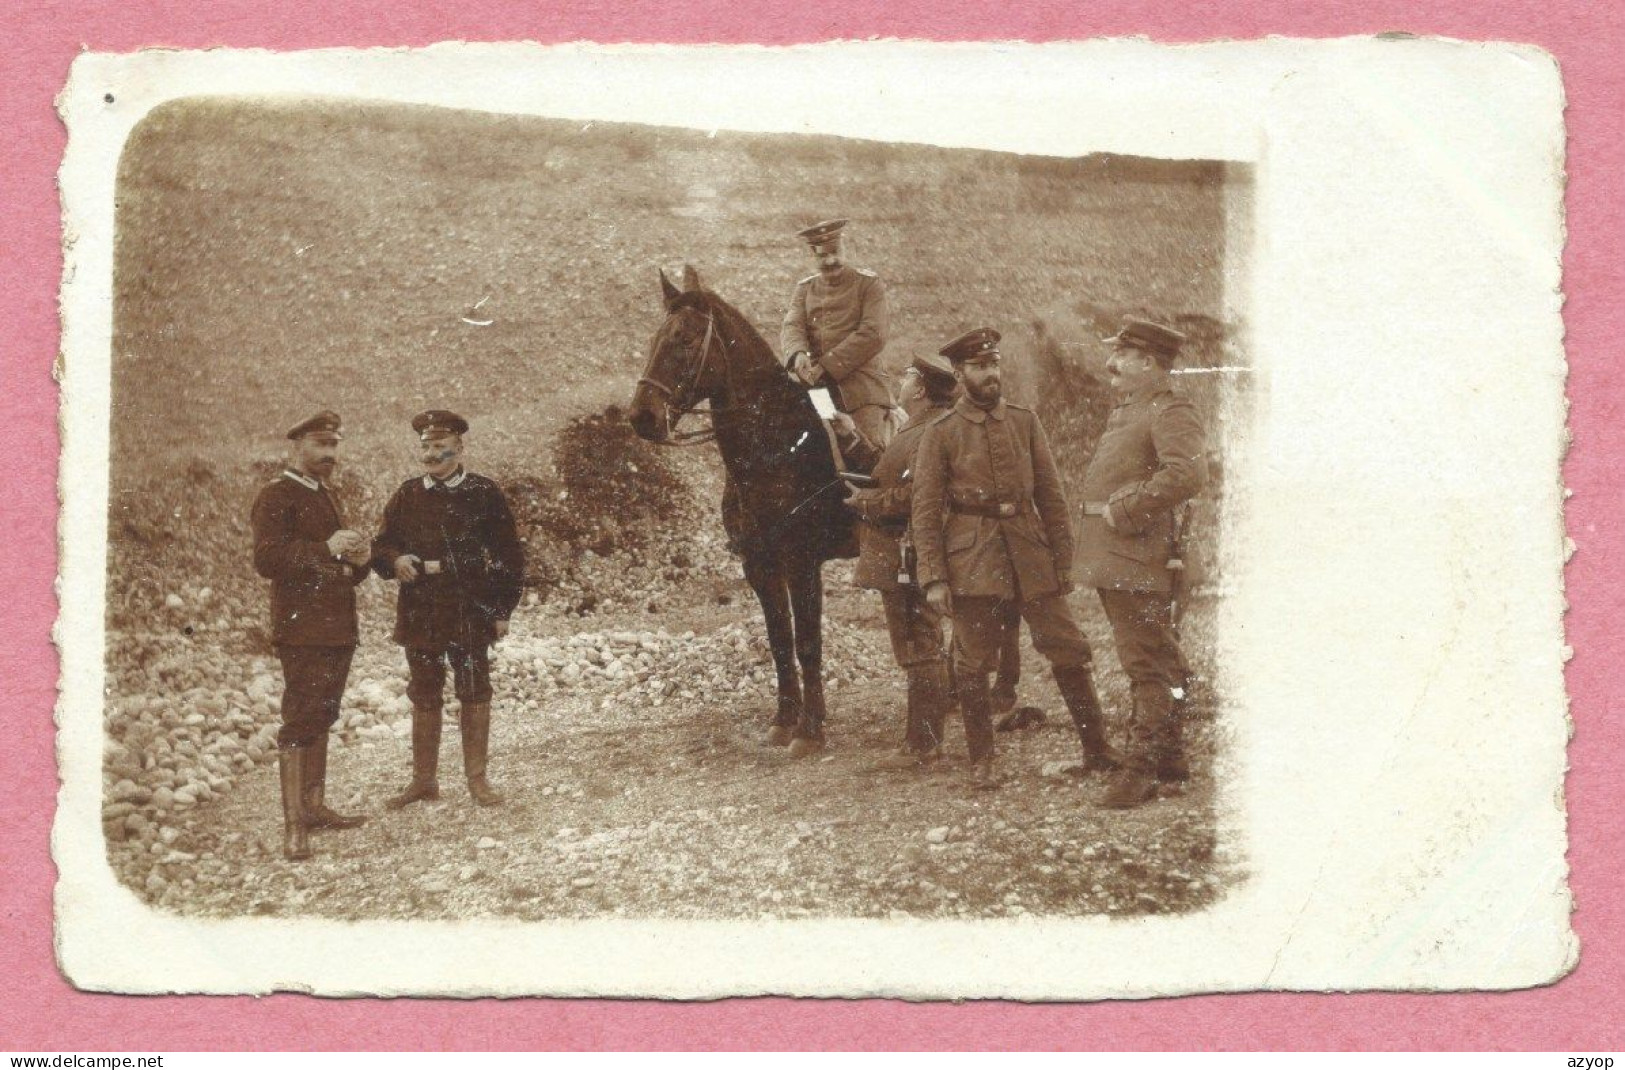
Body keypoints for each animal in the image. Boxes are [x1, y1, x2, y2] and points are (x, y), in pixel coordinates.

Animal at [627, 261, 858, 754]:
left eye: (685, 338)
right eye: (656, 338)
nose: (642, 417)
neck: (777, 449)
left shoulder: (802, 562)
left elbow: (807, 642)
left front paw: (811, 731)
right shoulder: (759, 565)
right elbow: (779, 640)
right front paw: (784, 720)